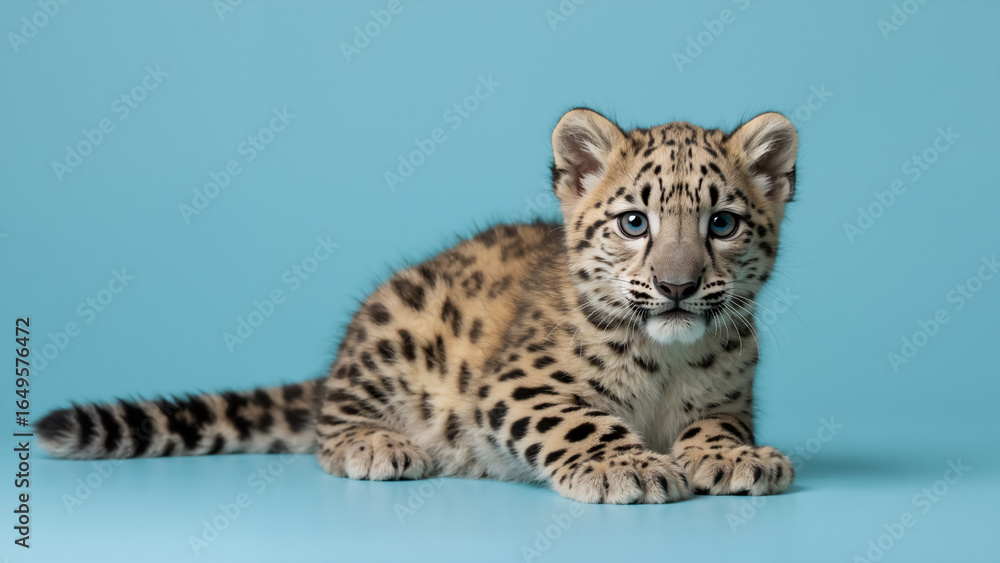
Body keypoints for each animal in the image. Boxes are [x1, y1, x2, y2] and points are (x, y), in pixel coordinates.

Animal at [37, 107, 799, 504]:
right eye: (635, 223)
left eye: (721, 224)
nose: (676, 286)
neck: (668, 359)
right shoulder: (519, 385)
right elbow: (581, 421)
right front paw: (631, 466)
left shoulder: (732, 396)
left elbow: (718, 425)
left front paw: (737, 458)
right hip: (397, 323)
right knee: (330, 423)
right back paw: (381, 444)